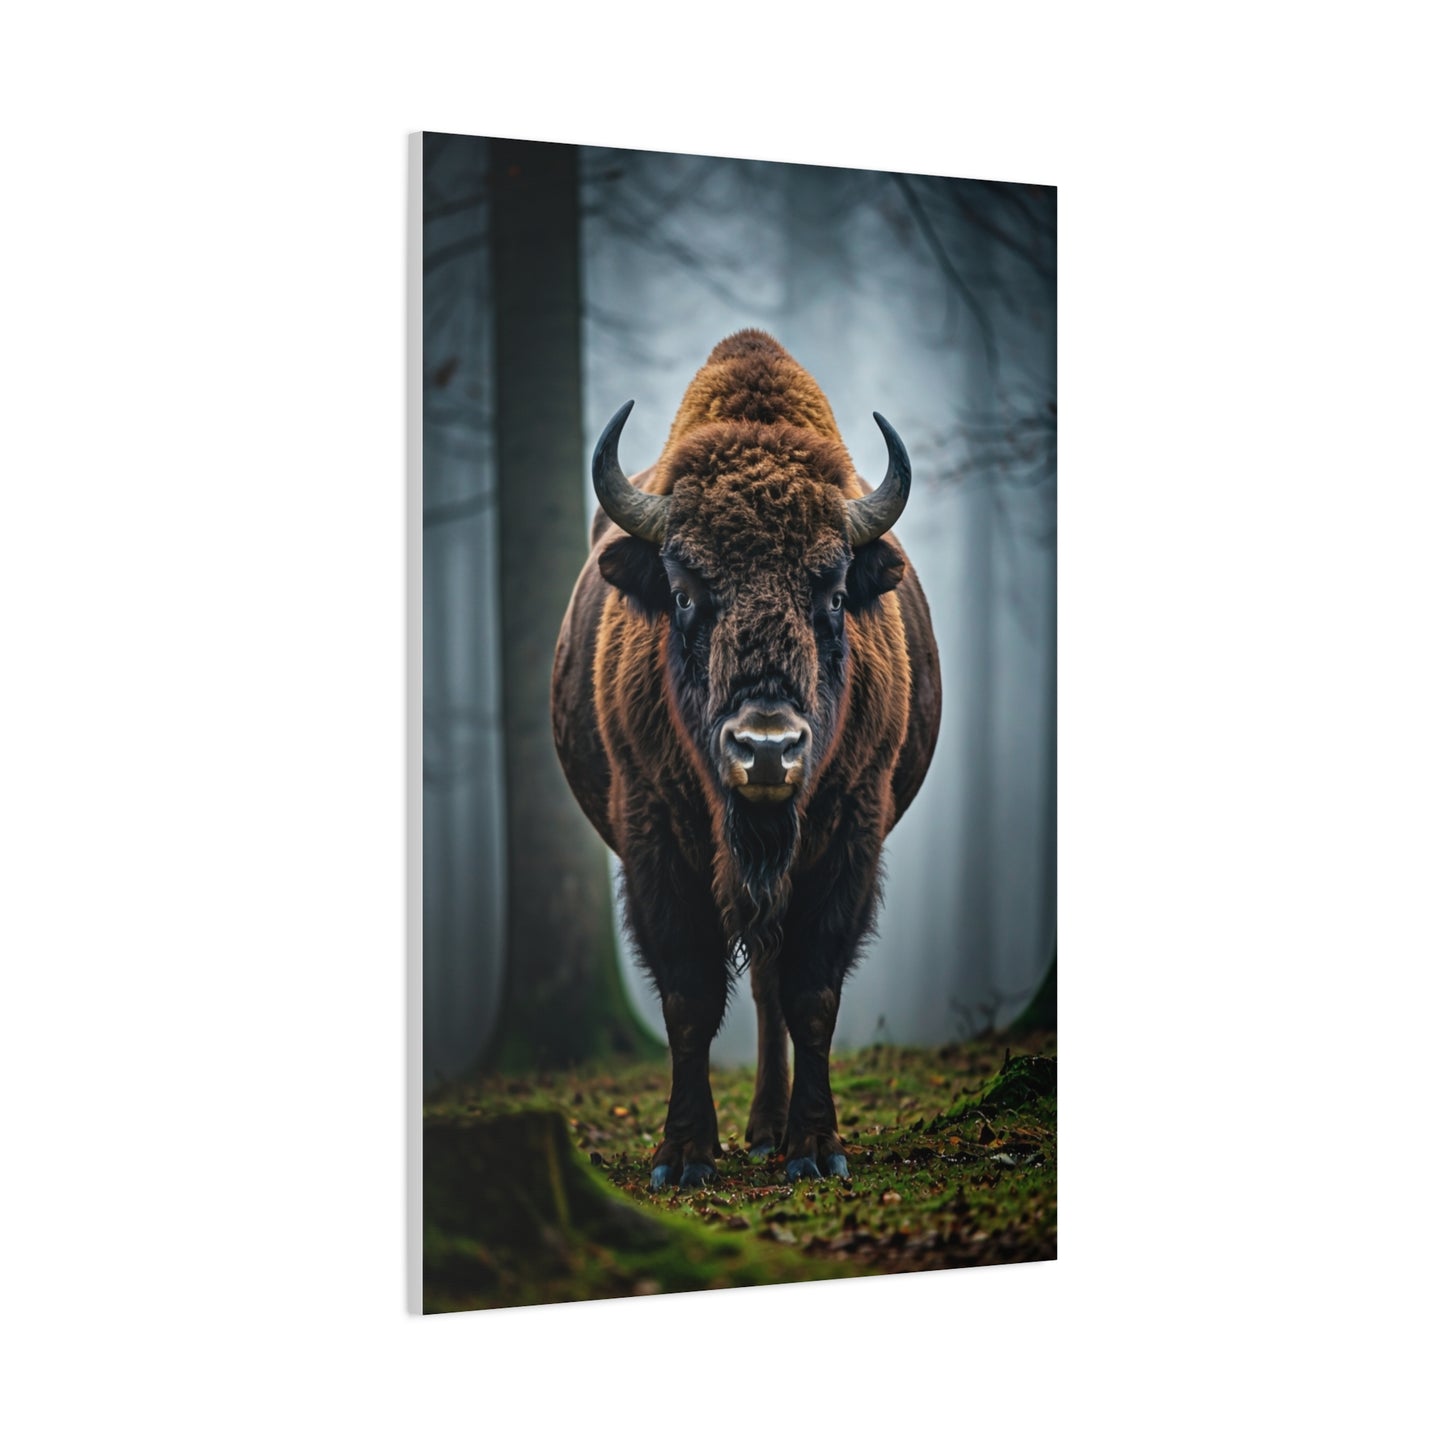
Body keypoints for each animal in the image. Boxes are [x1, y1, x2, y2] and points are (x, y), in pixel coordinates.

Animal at [552, 330, 941, 1186]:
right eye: (684, 589)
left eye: (834, 592)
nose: (766, 749)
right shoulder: (654, 836)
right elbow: (689, 996)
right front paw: (683, 1155)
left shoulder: (849, 832)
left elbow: (812, 993)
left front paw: (816, 1148)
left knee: (769, 985)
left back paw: (769, 1131)